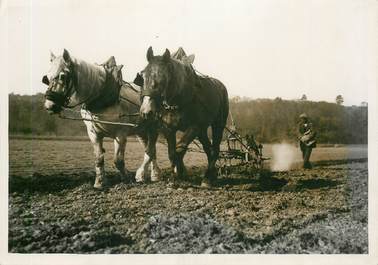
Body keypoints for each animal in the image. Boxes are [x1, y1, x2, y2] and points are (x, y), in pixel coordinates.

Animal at [42, 49, 161, 188]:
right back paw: (152, 174)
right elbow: (99, 158)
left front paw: (127, 178)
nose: (49, 106)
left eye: (63, 76)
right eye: (47, 77)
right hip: (141, 132)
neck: (103, 98)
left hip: (153, 129)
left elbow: (118, 160)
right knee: (150, 150)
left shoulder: (120, 134)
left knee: (150, 150)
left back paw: (148, 175)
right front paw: (100, 183)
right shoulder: (93, 134)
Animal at [138, 46, 227, 186]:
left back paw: (207, 178)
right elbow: (172, 153)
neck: (180, 98)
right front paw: (179, 175)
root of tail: (220, 86)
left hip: (218, 125)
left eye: (163, 78)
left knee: (215, 149)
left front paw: (177, 176)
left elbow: (180, 150)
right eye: (143, 74)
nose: (146, 111)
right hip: (202, 130)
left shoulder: (194, 127)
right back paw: (210, 175)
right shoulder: (169, 129)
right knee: (208, 149)